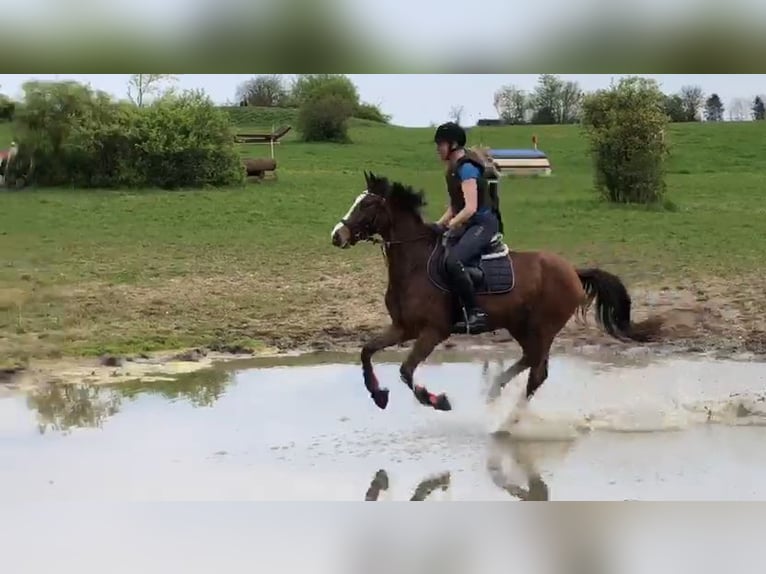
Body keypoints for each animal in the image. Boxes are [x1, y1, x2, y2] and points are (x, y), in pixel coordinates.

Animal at [330, 171, 663, 413]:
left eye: (367, 205)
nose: (337, 235)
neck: (414, 264)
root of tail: (573, 271)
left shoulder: (433, 331)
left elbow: (406, 371)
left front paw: (437, 401)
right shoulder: (403, 328)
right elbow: (367, 351)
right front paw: (378, 395)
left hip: (543, 327)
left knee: (537, 371)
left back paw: (512, 420)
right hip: (520, 325)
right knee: (530, 362)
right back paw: (496, 393)